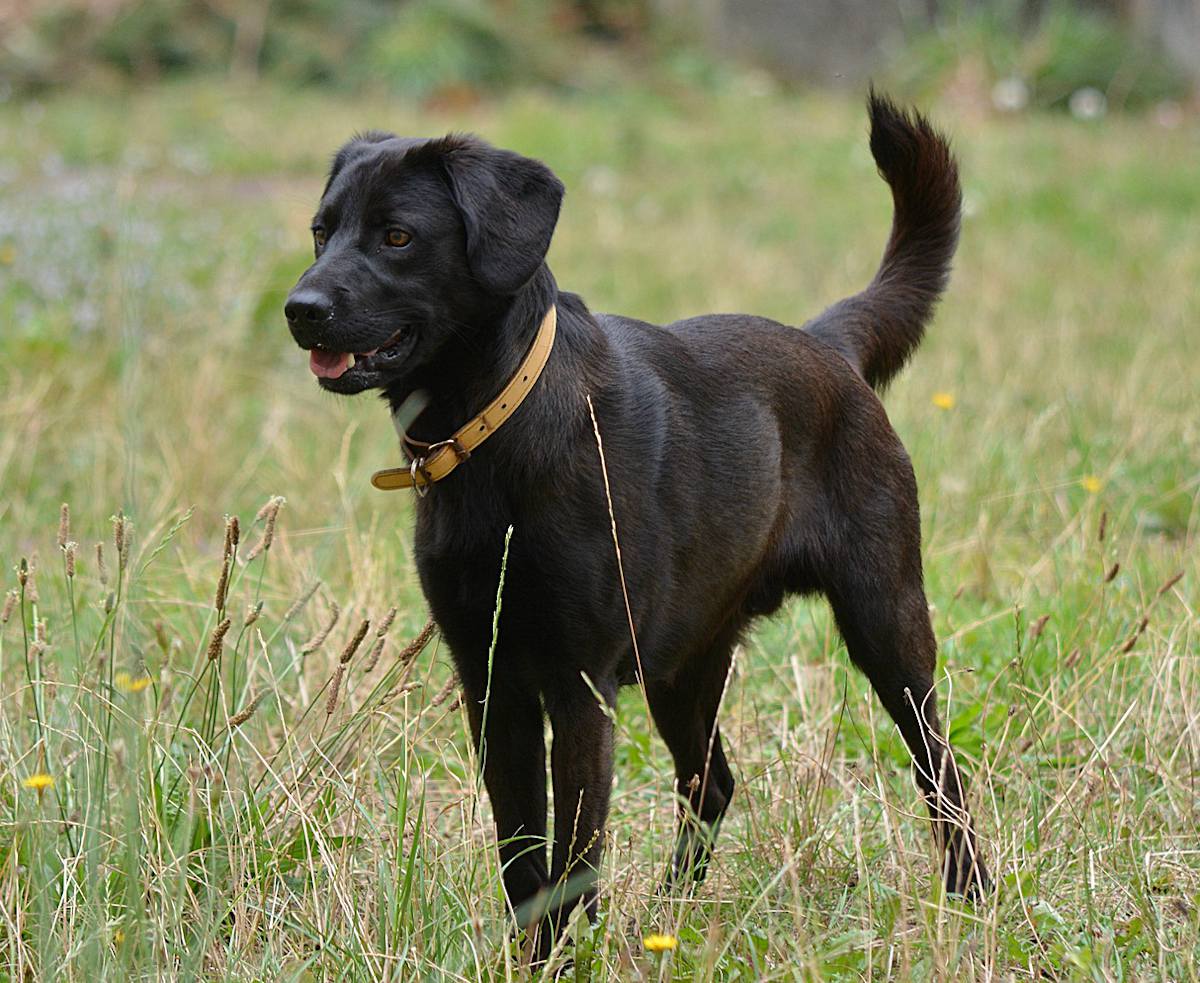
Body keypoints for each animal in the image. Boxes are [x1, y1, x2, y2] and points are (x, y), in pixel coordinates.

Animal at [285, 90, 988, 955]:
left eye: (397, 236)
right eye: (321, 230)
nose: (300, 309)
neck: (496, 424)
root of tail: (827, 345)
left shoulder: (579, 685)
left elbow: (574, 852)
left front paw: (563, 955)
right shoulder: (492, 682)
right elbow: (523, 853)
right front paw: (533, 954)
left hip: (886, 623)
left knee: (940, 767)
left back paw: (971, 894)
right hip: (685, 664)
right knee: (712, 781)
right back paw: (669, 914)